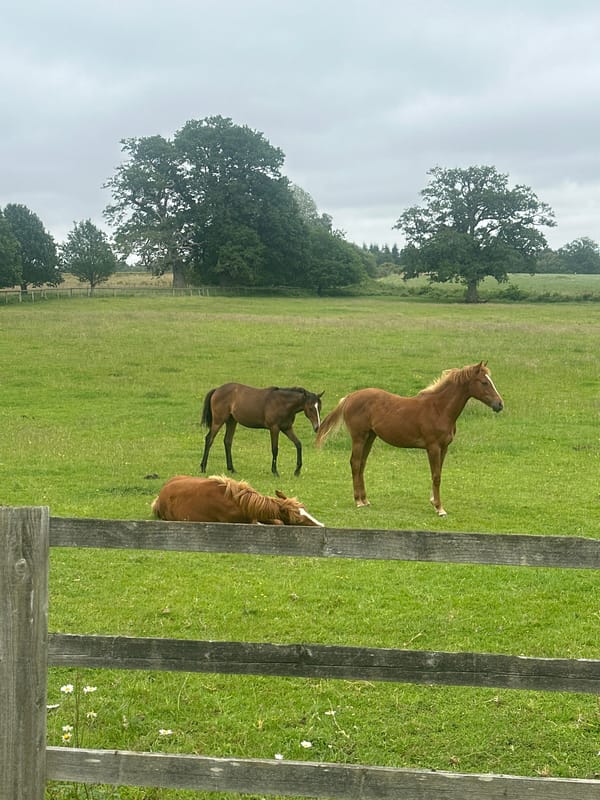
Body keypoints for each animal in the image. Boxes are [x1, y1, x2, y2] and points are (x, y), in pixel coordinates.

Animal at [315, 362, 503, 516]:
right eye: (484, 382)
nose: (500, 404)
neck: (439, 409)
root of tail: (349, 397)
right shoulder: (433, 447)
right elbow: (436, 476)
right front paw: (440, 508)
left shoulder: (444, 447)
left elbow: (438, 473)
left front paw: (433, 502)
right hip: (359, 437)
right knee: (355, 463)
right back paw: (358, 502)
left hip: (370, 437)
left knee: (361, 464)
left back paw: (365, 500)